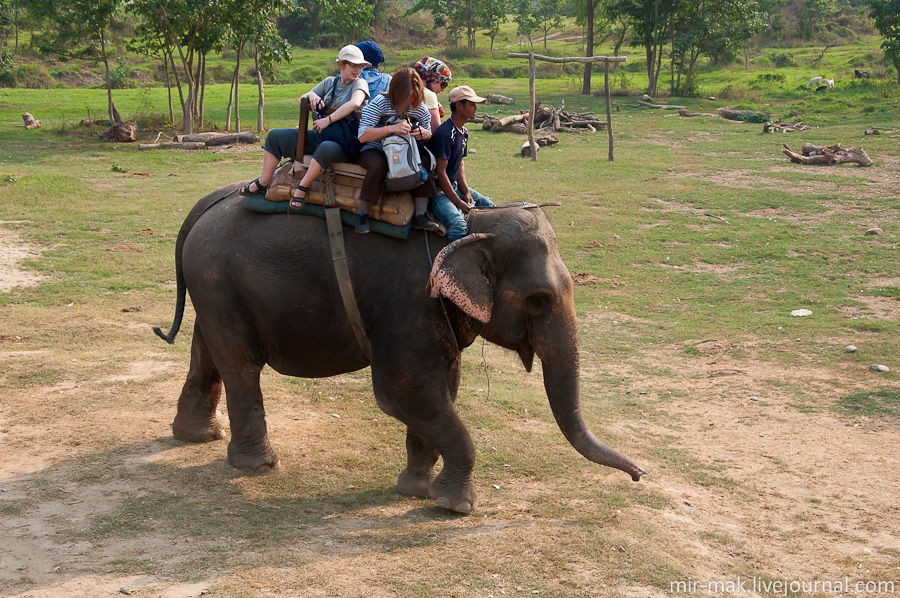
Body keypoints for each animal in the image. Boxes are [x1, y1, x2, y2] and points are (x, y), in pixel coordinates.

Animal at [156, 184, 648, 516]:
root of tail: (205, 206)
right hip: (220, 280)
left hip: (215, 288)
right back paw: (258, 465)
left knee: (207, 351)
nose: (640, 476)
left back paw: (197, 436)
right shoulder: (409, 300)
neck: (470, 226)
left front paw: (417, 489)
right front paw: (455, 506)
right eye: (538, 300)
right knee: (240, 366)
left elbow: (443, 387)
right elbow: (403, 391)